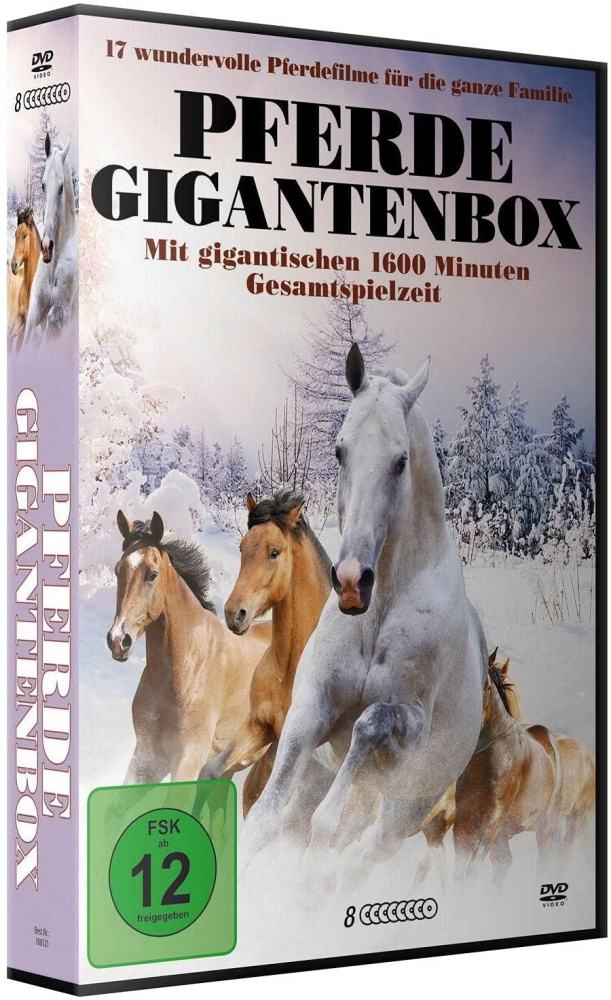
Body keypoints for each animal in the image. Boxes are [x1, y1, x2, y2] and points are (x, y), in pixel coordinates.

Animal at [198, 488, 332, 815]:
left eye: (275, 552)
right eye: (242, 547)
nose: (235, 614)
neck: (289, 669)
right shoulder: (259, 724)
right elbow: (212, 771)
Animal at [240, 342, 488, 886]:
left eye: (400, 461)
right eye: (340, 450)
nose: (353, 581)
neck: (376, 618)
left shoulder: (409, 724)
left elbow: (368, 726)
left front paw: (323, 833)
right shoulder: (310, 706)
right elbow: (263, 821)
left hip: (407, 808)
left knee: (363, 853)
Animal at [453, 661, 595, 884]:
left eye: (486, 687)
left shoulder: (493, 822)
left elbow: (473, 866)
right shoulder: (464, 818)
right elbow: (462, 867)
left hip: (562, 822)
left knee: (552, 860)